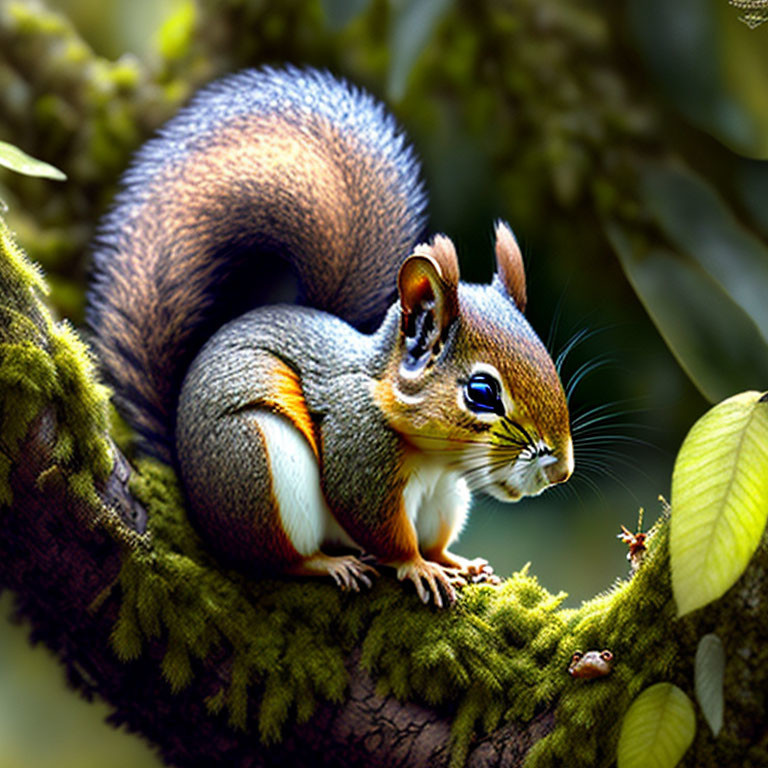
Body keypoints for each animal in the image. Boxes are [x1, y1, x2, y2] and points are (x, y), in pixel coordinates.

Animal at [87, 66, 572, 608]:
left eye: (548, 361)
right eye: (482, 393)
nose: (561, 473)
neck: (434, 456)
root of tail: (200, 508)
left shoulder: (443, 490)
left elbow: (432, 540)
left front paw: (451, 562)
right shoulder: (357, 450)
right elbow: (381, 528)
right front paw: (418, 568)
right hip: (259, 464)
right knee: (279, 558)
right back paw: (329, 563)